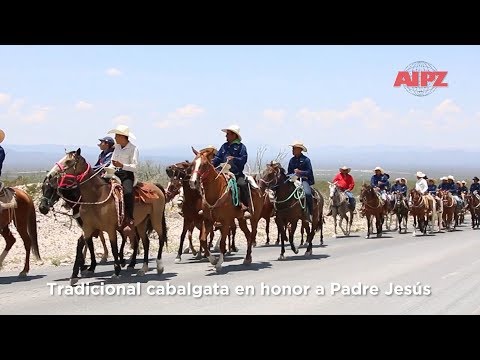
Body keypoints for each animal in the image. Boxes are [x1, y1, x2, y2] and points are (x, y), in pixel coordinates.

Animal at [47, 149, 167, 284]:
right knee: (146, 242)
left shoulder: (110, 228)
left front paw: (116, 271)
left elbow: (113, 247)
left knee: (160, 238)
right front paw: (77, 274)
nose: (51, 175)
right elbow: (86, 244)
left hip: (155, 218)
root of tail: (156, 187)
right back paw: (143, 268)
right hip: (141, 222)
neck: (96, 196)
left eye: (68, 161)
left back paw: (159, 265)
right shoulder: (88, 228)